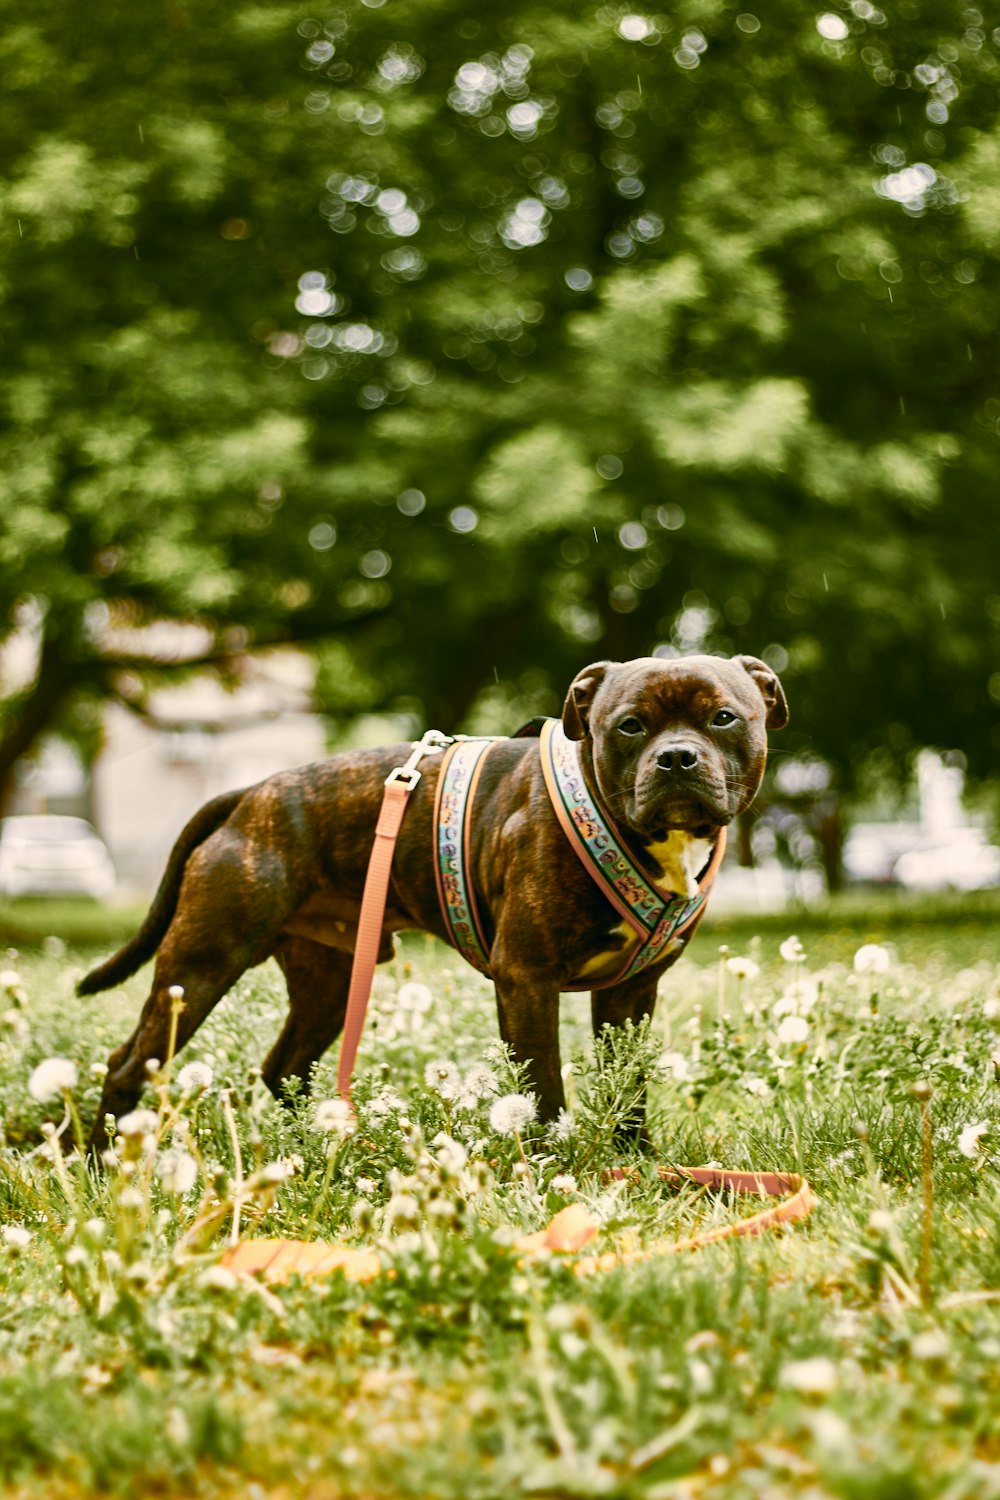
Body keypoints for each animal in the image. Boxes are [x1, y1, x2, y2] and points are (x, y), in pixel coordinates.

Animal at [82, 651, 785, 1140]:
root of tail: (250, 793)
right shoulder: (526, 979)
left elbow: (628, 1086)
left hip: (327, 983)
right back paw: (99, 1165)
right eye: (630, 726)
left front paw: (635, 1161)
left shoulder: (631, 994)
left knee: (283, 1067)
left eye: (724, 717)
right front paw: (555, 1171)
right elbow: (542, 1089)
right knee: (126, 1065)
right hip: (202, 964)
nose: (677, 758)